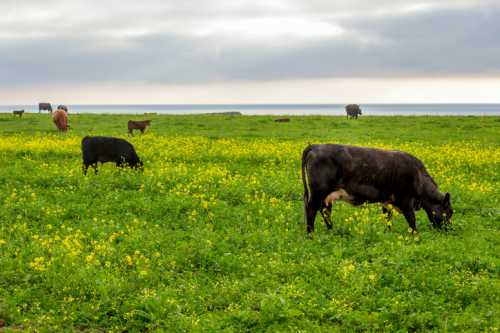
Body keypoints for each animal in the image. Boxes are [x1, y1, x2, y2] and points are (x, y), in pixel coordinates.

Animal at [300, 144, 454, 232]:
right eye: (449, 212)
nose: (448, 229)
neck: (418, 177)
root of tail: (315, 146)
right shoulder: (405, 201)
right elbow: (412, 220)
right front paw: (415, 236)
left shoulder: (387, 202)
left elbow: (388, 218)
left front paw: (388, 232)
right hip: (317, 193)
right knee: (311, 210)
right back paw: (311, 234)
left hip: (326, 197)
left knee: (325, 211)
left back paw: (331, 230)